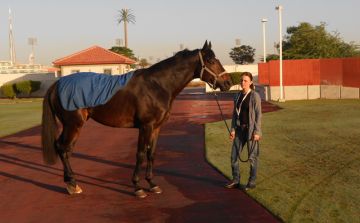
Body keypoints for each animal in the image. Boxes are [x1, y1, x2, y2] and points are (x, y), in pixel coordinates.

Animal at [41, 41, 233, 198]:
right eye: (211, 61)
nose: (228, 83)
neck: (157, 85)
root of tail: (57, 84)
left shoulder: (156, 128)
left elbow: (151, 154)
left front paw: (152, 184)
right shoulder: (146, 127)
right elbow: (140, 154)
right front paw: (137, 187)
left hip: (72, 126)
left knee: (64, 149)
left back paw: (71, 183)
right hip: (73, 125)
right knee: (63, 148)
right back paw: (72, 184)